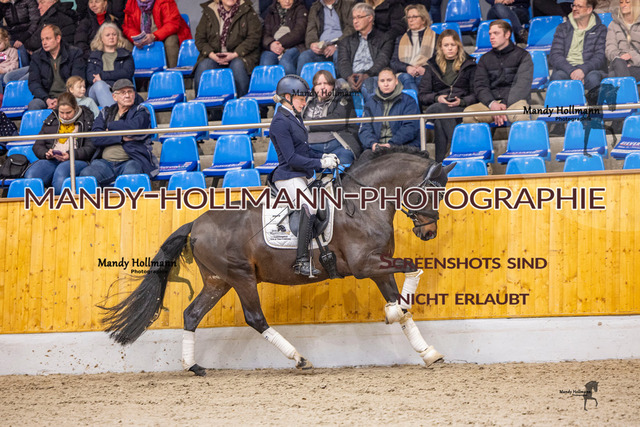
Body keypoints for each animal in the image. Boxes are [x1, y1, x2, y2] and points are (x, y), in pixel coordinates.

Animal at [101, 146, 455, 376]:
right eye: (432, 191)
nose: (428, 232)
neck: (364, 203)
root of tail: (196, 224)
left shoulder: (379, 264)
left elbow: (404, 306)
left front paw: (428, 351)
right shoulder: (364, 265)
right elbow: (413, 268)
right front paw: (398, 315)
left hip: (218, 281)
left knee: (191, 314)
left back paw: (194, 366)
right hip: (241, 277)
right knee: (255, 318)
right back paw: (299, 359)